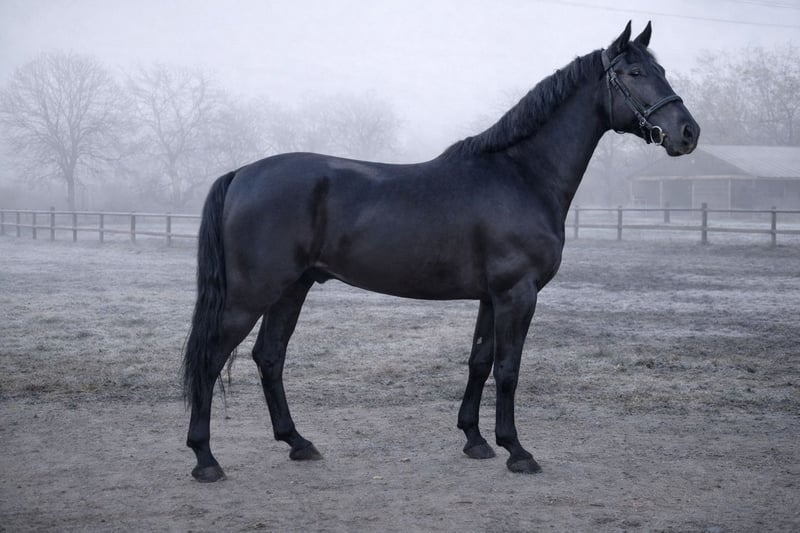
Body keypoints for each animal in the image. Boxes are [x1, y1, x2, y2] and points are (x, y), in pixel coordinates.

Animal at [183, 21, 699, 482]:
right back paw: (205, 459)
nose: (688, 132)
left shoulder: (492, 297)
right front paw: (517, 451)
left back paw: (298, 443)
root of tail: (241, 174)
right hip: (251, 294)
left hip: (293, 287)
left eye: (662, 70)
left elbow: (479, 362)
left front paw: (476, 440)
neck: (522, 175)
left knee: (269, 356)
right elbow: (508, 369)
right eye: (635, 73)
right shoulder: (518, 294)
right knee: (210, 358)